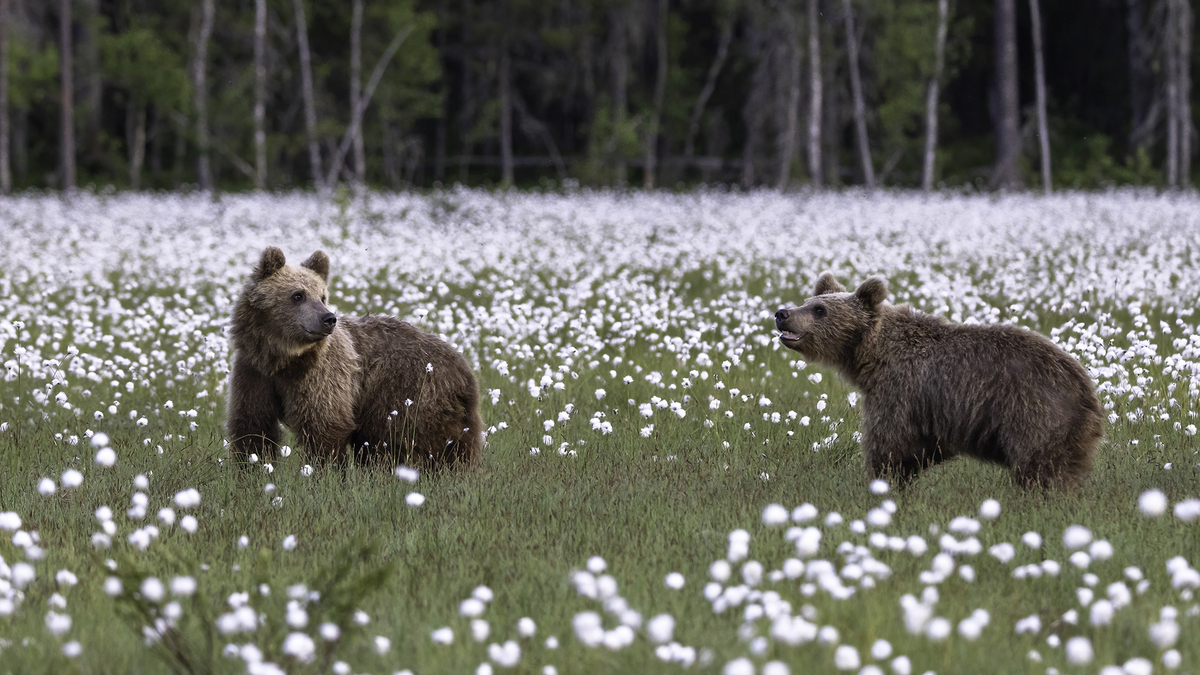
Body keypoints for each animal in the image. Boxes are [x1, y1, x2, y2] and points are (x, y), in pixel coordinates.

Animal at [225, 246, 483, 469]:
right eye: (298, 295)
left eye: (322, 296)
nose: (328, 318)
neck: (283, 360)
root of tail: (465, 369)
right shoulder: (254, 373)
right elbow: (253, 426)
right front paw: (250, 470)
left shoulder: (322, 377)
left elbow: (324, 427)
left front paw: (325, 473)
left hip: (406, 391)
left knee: (390, 443)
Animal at [774, 272, 1103, 489]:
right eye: (808, 300)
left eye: (820, 309)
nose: (782, 313)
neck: (871, 356)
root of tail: (1088, 390)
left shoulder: (900, 389)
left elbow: (890, 444)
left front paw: (884, 482)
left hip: (1036, 411)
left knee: (1040, 467)